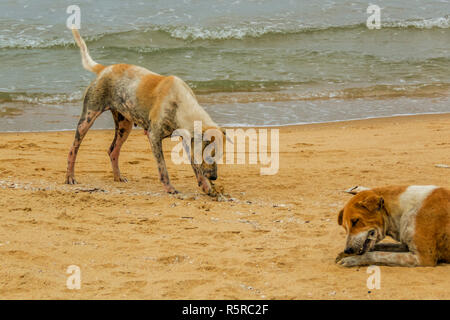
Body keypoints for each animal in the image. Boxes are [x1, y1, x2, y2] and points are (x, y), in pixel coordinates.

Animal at [66, 28, 225, 196]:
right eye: (208, 154)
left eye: (219, 155)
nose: (214, 177)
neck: (180, 104)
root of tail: (104, 69)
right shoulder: (154, 137)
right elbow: (163, 168)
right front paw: (170, 188)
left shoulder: (188, 141)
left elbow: (196, 167)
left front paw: (207, 187)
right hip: (88, 117)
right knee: (73, 149)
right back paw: (70, 176)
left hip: (124, 126)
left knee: (113, 151)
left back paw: (118, 177)